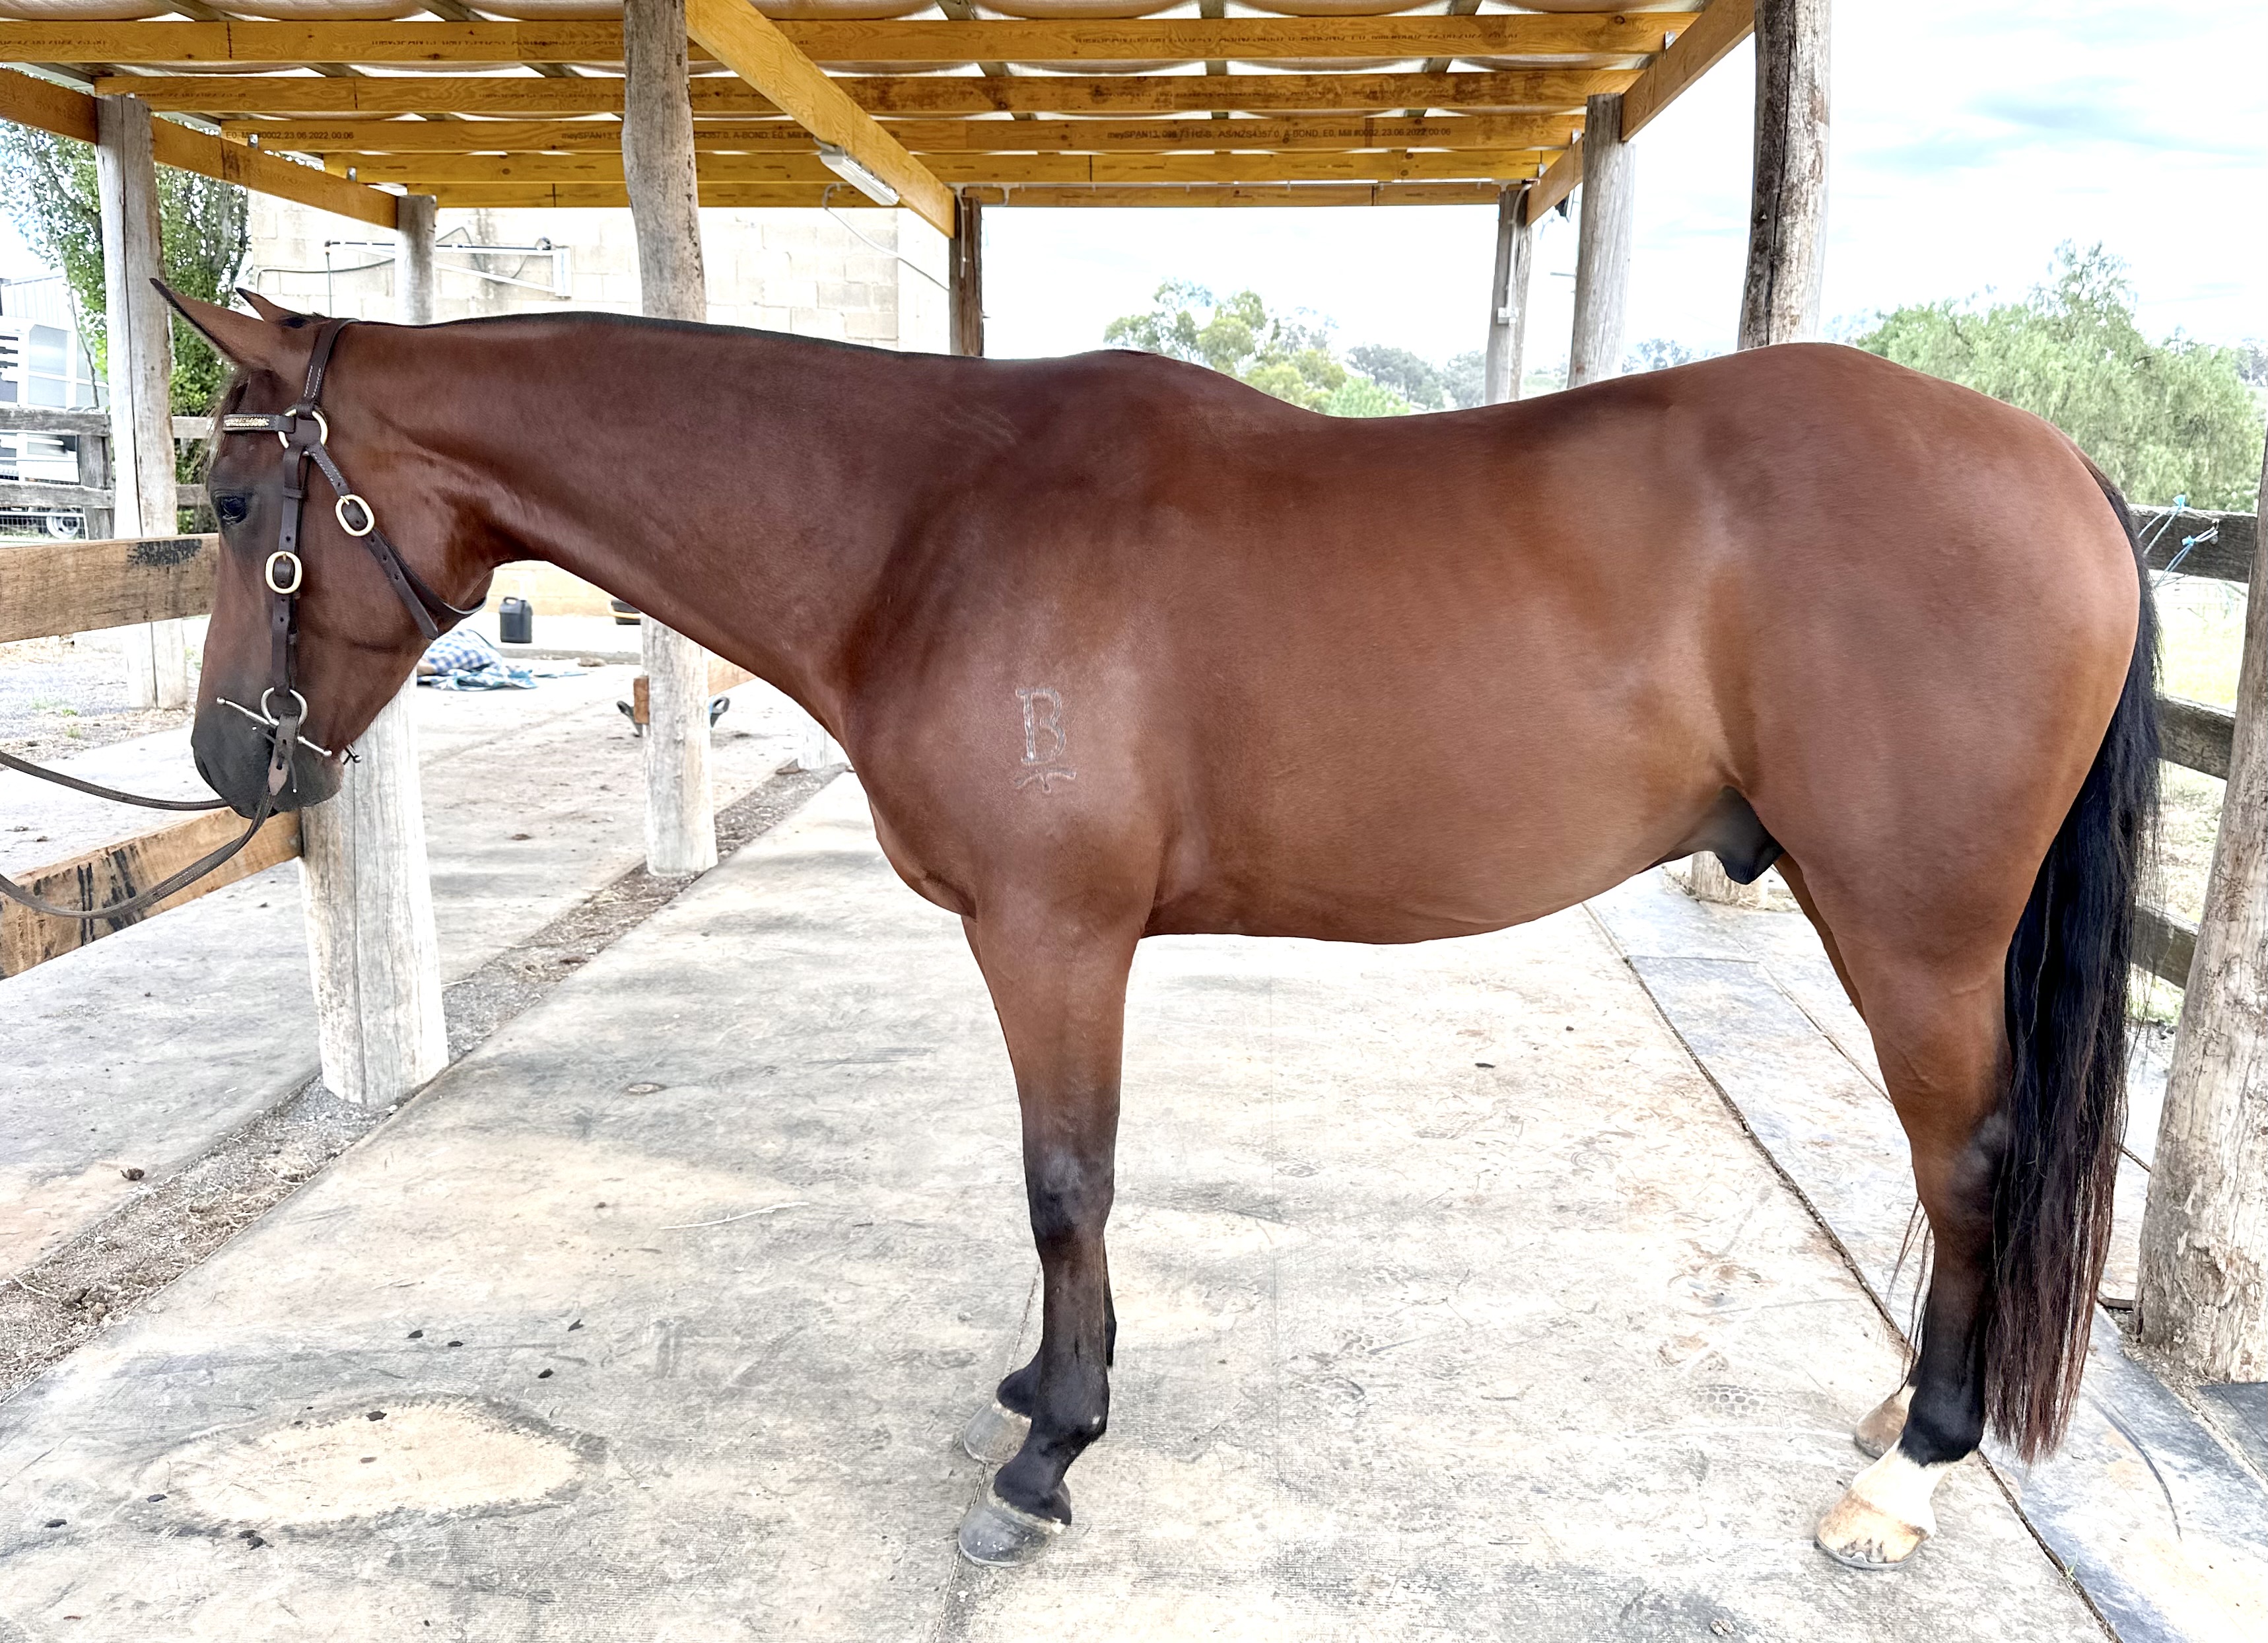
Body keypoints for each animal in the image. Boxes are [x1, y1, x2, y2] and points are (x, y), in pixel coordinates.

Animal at [162, 286, 2156, 1572]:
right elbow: (1070, 1187)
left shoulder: (1052, 934)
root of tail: (2061, 469)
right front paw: (1058, 1385)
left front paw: (1045, 1453)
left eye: (238, 501)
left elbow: (1065, 1178)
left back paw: (1909, 1471)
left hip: (1907, 929)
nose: (226, 761)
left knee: (1967, 1162)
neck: (921, 529)